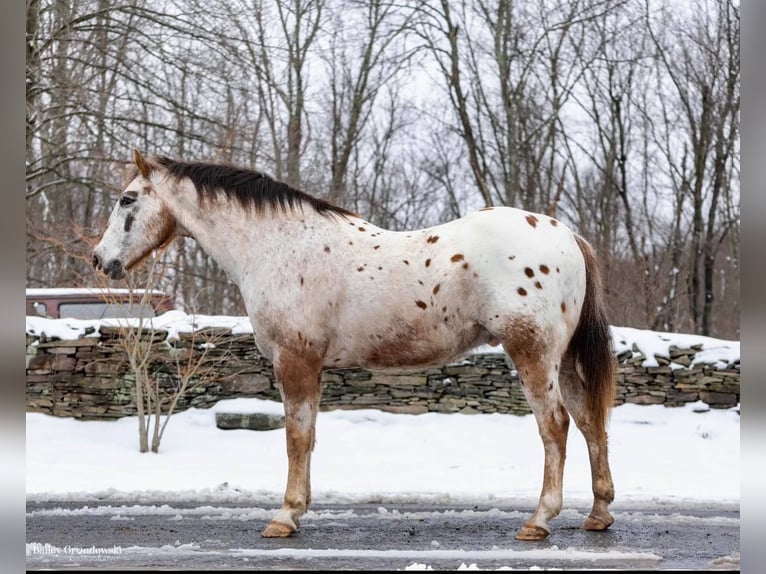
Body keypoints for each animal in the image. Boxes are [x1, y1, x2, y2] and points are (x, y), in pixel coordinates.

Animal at [91, 151, 616, 544]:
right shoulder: (312, 366)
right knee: (590, 422)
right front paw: (298, 509)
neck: (280, 245)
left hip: (533, 354)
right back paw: (599, 513)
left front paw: (285, 516)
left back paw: (540, 520)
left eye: (126, 199)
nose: (100, 260)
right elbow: (307, 437)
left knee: (556, 426)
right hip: (561, 360)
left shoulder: (296, 361)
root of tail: (567, 235)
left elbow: (296, 437)